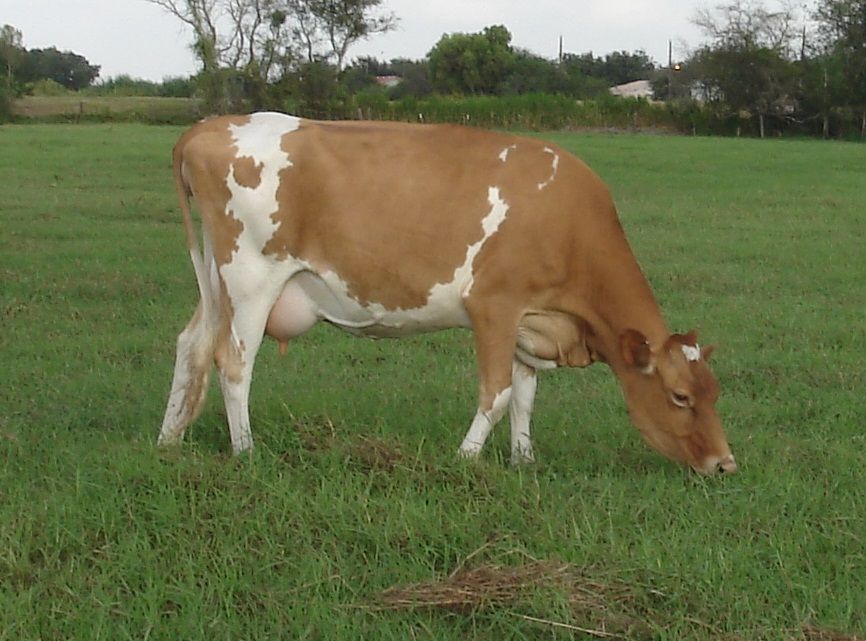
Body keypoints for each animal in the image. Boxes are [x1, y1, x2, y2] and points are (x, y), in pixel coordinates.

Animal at [157, 112, 737, 475]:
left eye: (714, 392)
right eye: (679, 397)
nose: (724, 463)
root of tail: (211, 126)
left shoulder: (528, 321)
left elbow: (525, 394)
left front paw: (523, 461)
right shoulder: (495, 306)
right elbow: (497, 393)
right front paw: (466, 457)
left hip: (218, 280)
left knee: (191, 346)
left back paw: (170, 440)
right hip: (252, 277)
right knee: (233, 361)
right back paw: (245, 451)